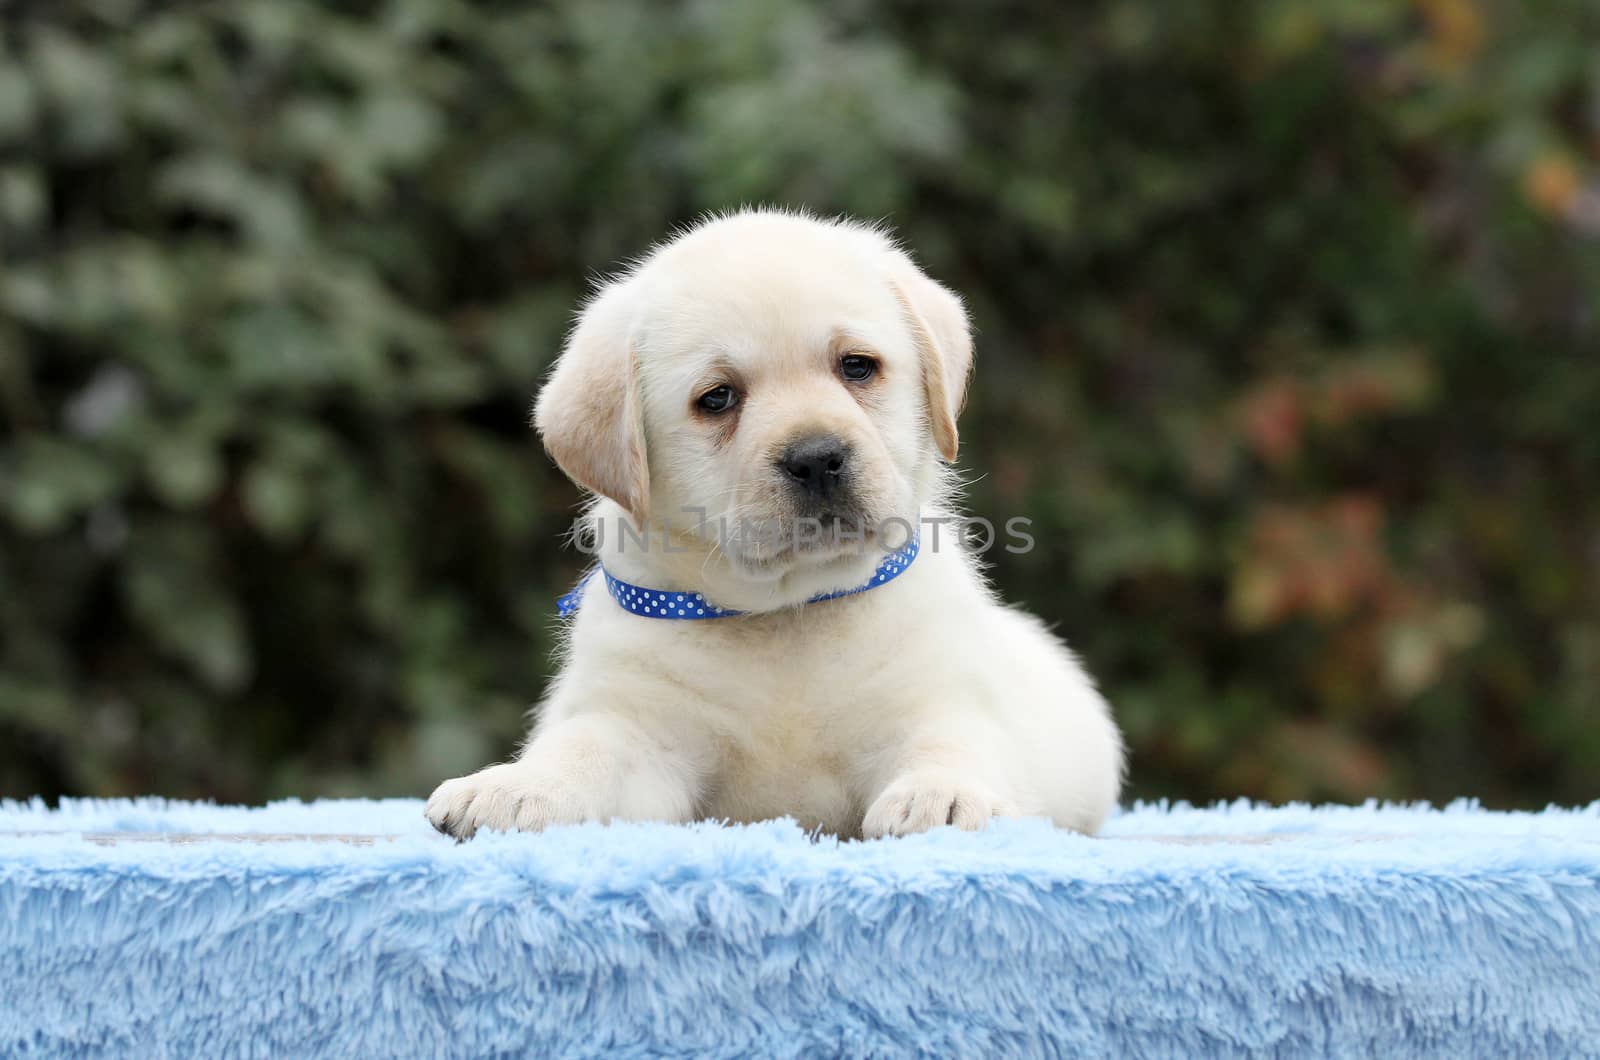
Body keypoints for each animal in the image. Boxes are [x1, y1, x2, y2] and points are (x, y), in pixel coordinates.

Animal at [425, 209, 1126, 839]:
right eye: (717, 398)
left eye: (857, 366)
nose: (816, 457)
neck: (787, 616)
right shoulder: (637, 726)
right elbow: (581, 749)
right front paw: (513, 786)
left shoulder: (937, 697)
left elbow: (953, 744)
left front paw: (944, 795)